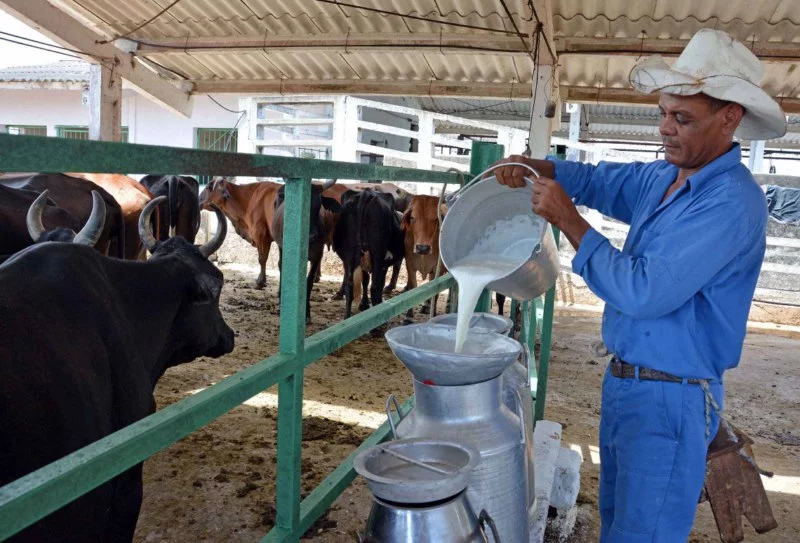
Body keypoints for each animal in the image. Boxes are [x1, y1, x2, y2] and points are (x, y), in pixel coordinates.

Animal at [272, 178, 340, 324]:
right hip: (281, 246)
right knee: (280, 266)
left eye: (319, 205)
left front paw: (307, 313)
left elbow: (308, 283)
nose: (311, 236)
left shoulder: (317, 256)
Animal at [332, 189, 404, 324]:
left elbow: (365, 280)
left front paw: (364, 304)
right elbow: (378, 283)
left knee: (350, 286)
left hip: (348, 254)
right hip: (377, 253)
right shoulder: (382, 264)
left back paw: (346, 319)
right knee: (374, 287)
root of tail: (366, 192)